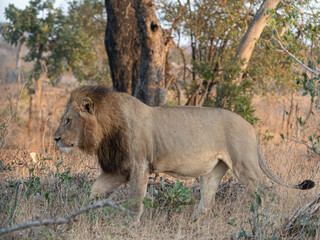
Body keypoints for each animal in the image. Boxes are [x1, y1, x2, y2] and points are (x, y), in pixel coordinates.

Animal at [53, 85, 314, 220]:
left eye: (68, 120)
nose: (55, 138)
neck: (106, 129)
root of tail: (252, 128)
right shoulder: (120, 169)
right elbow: (94, 190)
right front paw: (77, 214)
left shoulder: (139, 165)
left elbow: (135, 201)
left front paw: (130, 226)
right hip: (212, 172)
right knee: (207, 202)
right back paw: (194, 224)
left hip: (245, 166)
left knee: (264, 196)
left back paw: (261, 220)